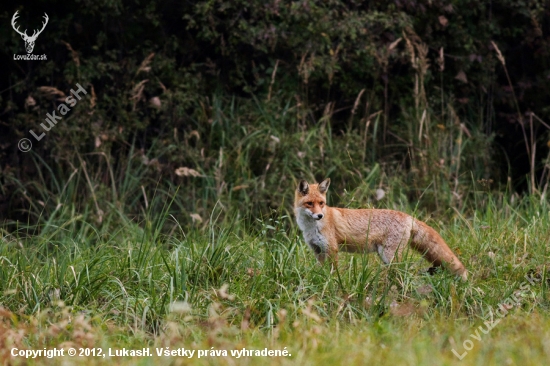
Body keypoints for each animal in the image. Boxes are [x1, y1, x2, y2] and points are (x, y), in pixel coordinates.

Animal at [296, 180, 468, 280]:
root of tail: (408, 216)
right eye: (310, 203)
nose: (319, 215)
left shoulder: (332, 249)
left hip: (389, 255)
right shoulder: (318, 250)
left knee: (403, 271)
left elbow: (333, 271)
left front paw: (331, 283)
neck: (311, 228)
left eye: (321, 203)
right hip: (384, 255)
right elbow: (320, 270)